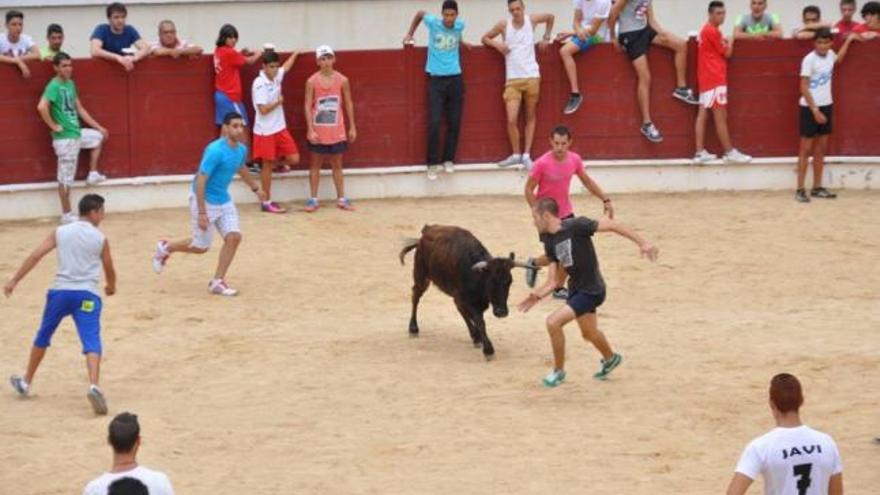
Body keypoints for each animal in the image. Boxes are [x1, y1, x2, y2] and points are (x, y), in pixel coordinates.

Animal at [398, 226, 528, 360]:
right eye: (491, 281)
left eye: (509, 281)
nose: (501, 312)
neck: (478, 276)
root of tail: (425, 232)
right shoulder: (467, 300)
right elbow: (479, 321)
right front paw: (488, 350)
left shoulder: (470, 300)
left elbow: (471, 316)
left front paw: (479, 339)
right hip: (421, 277)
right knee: (415, 296)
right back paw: (413, 328)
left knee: (458, 309)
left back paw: (475, 337)